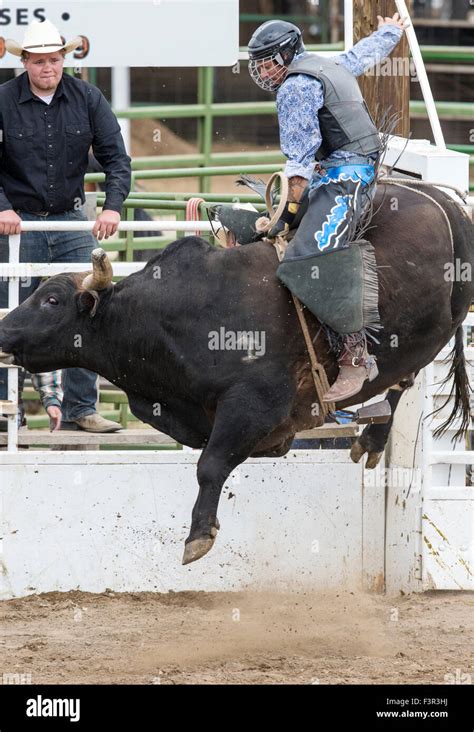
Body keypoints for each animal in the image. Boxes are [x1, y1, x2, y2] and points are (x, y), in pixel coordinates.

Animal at [0, 182, 472, 560]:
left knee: (402, 376)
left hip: (427, 330)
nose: (3, 331)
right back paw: (371, 435)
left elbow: (210, 465)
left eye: (52, 301)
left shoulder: (254, 403)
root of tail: (444, 200)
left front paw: (198, 536)